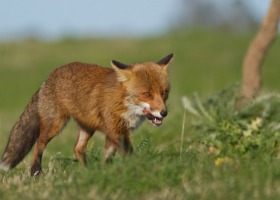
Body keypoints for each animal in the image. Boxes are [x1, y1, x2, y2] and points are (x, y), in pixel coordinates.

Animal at [0, 53, 174, 175]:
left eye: (164, 93)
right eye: (146, 94)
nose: (164, 113)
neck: (122, 101)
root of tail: (48, 79)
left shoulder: (117, 132)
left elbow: (108, 157)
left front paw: (104, 172)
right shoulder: (116, 131)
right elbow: (128, 155)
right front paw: (137, 169)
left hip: (87, 127)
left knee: (77, 148)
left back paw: (86, 172)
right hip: (55, 126)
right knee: (39, 143)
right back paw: (35, 172)